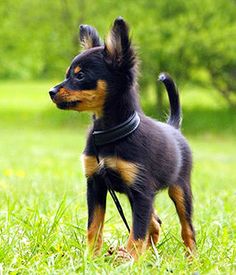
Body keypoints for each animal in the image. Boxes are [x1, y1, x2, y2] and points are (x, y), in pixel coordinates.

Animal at [48, 17, 195, 260]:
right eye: (67, 74)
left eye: (80, 76)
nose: (51, 91)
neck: (107, 135)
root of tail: (174, 127)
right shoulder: (96, 185)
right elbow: (94, 227)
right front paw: (91, 259)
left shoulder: (141, 192)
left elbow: (137, 233)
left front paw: (131, 261)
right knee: (155, 222)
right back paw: (151, 257)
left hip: (180, 189)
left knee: (187, 229)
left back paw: (192, 260)